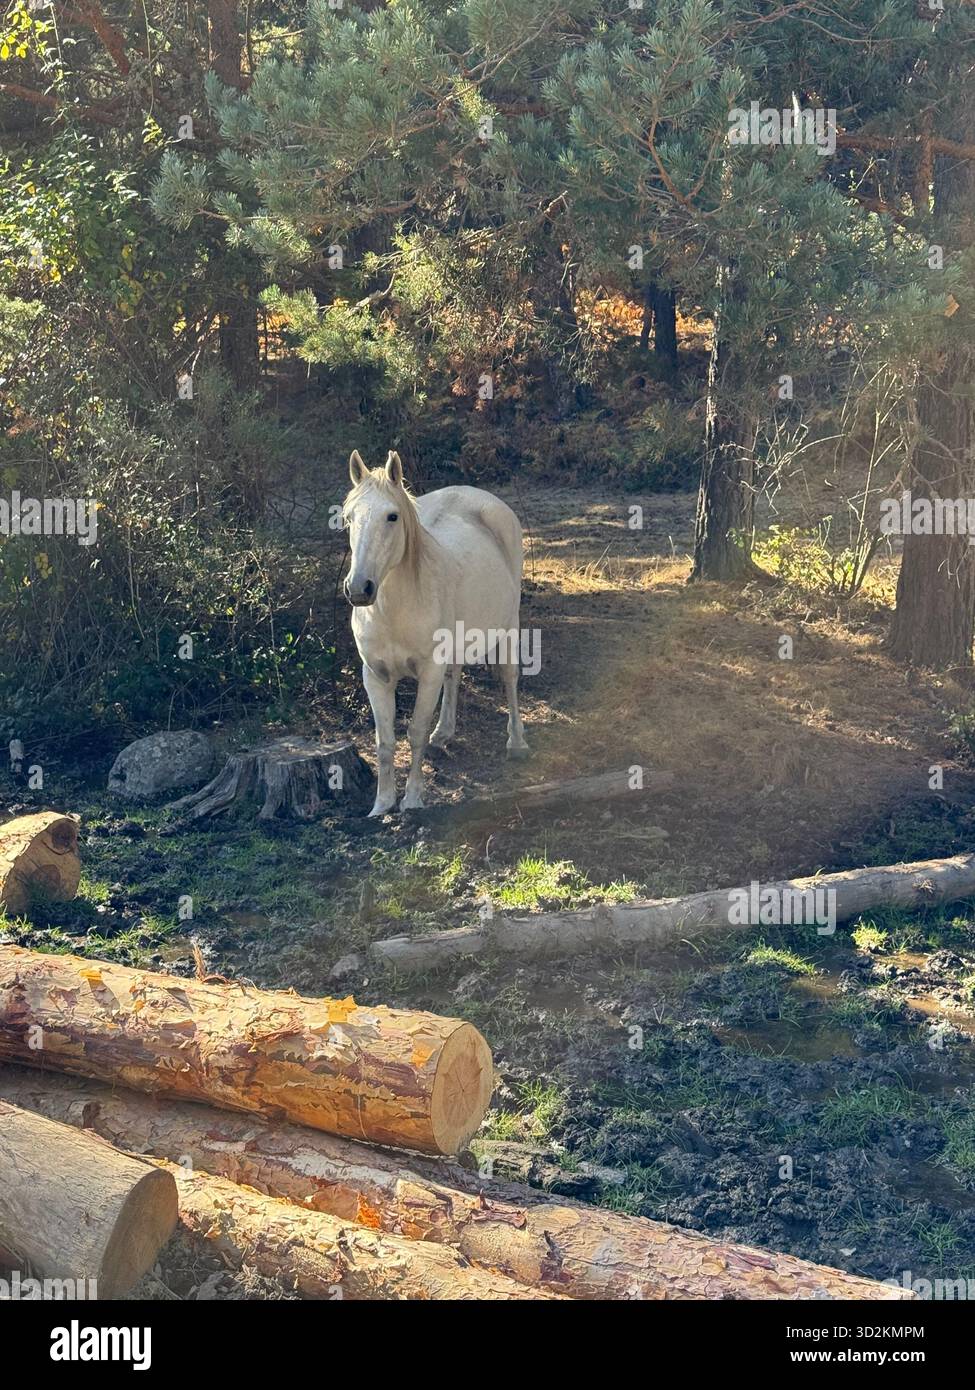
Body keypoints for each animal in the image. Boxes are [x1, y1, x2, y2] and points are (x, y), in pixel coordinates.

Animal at [342, 449, 529, 815]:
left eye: (392, 516)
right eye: (349, 517)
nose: (359, 589)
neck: (395, 612)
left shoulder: (428, 673)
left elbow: (414, 732)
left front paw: (413, 799)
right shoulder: (375, 676)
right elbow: (384, 741)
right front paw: (381, 804)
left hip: (509, 625)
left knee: (509, 678)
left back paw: (516, 743)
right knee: (454, 675)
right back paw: (444, 733)